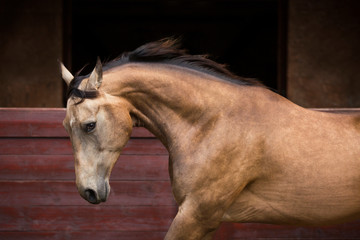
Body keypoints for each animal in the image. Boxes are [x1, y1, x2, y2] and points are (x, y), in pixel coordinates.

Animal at [60, 38, 360, 239]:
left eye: (89, 125)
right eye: (66, 125)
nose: (87, 192)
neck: (212, 123)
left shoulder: (196, 215)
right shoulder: (202, 220)